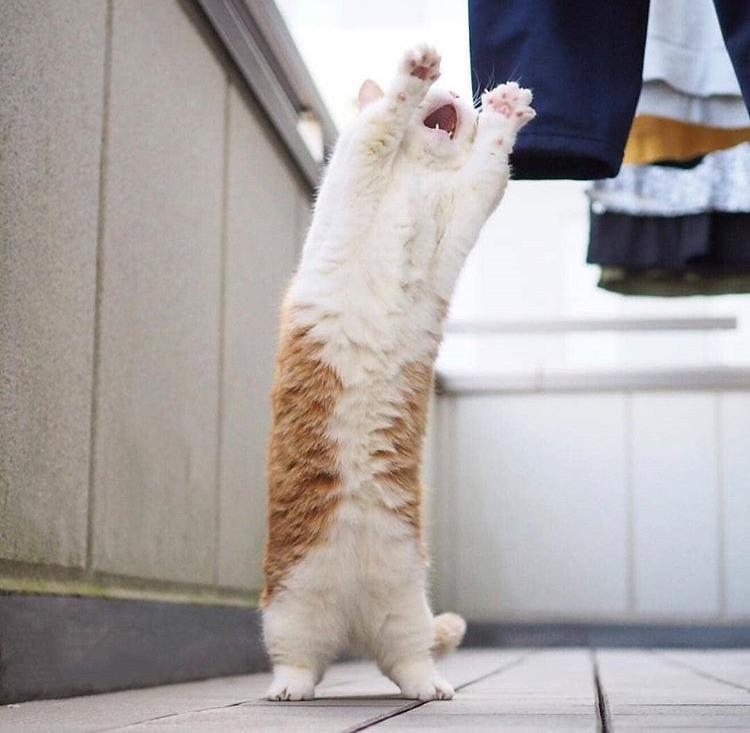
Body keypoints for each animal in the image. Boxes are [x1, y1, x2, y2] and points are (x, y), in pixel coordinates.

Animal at [262, 44, 534, 702]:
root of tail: (352, 624)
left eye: (466, 97)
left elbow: (489, 168)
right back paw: (289, 688)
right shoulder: (358, 163)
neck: (419, 176)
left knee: (407, 657)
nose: (458, 94)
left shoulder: (466, 208)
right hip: (288, 607)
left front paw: (504, 114)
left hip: (404, 604)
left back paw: (430, 687)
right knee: (297, 660)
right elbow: (381, 122)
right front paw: (413, 74)